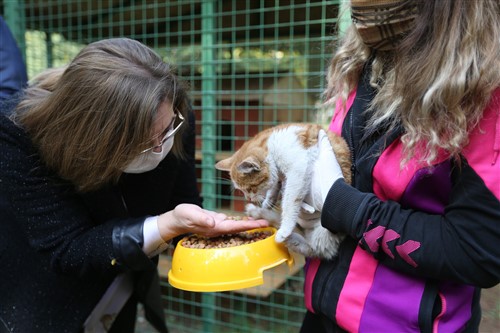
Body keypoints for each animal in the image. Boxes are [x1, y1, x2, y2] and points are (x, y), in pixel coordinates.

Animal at [215, 122, 352, 260]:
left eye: (249, 188)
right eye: (241, 190)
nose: (248, 198)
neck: (272, 145)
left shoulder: (298, 169)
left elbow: (289, 201)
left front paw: (285, 228)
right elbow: (275, 185)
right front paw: (268, 201)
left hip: (324, 231)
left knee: (314, 249)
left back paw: (287, 237)